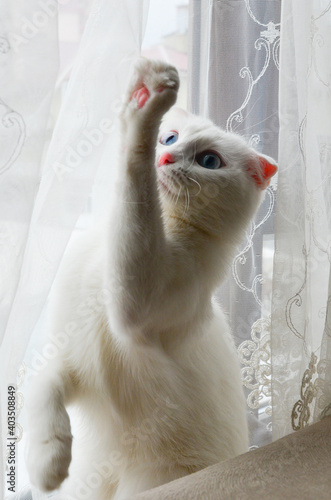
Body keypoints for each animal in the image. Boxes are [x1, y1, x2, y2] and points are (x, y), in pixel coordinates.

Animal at [25, 59, 278, 500]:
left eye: (209, 161)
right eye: (170, 138)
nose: (165, 156)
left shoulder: (135, 304)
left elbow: (134, 184)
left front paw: (144, 108)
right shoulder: (69, 356)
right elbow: (45, 384)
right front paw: (48, 461)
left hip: (152, 481)